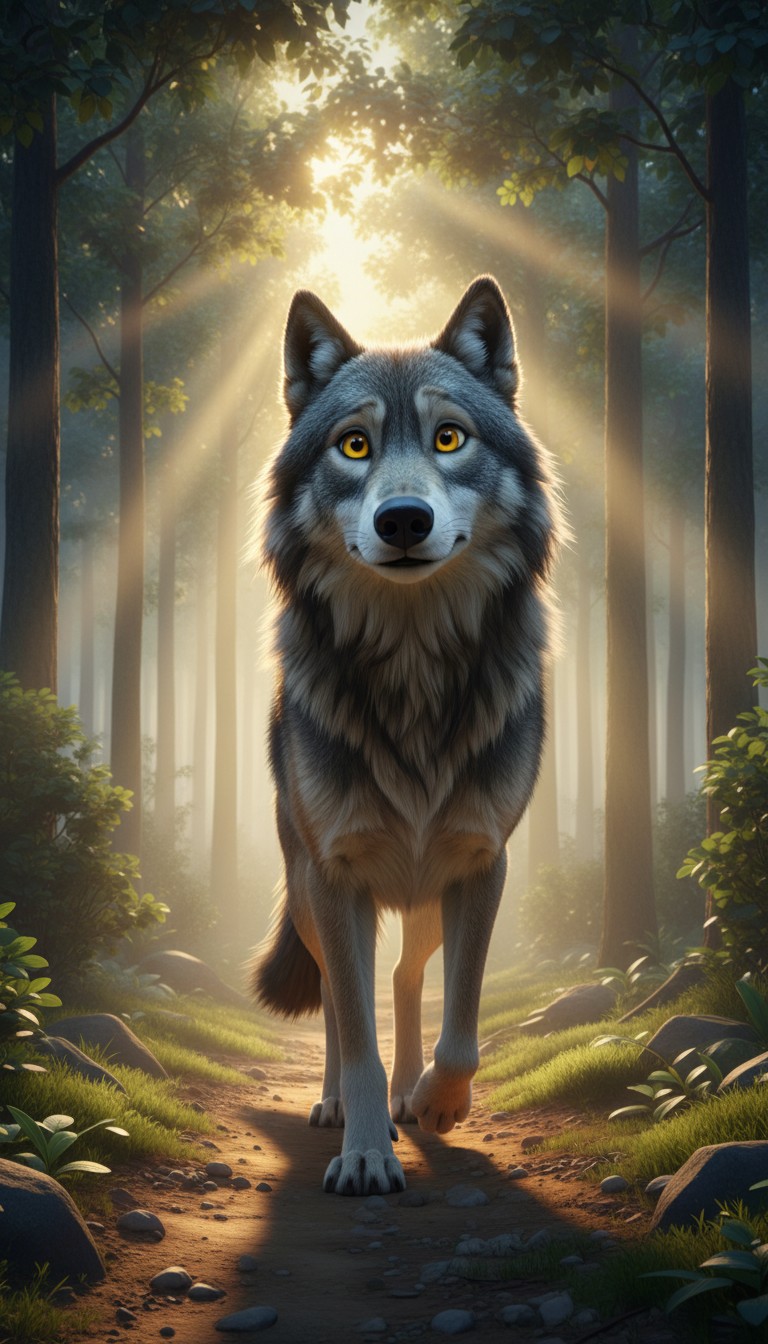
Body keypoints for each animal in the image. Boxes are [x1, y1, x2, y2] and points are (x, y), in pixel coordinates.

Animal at [251, 275, 561, 1196]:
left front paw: (435, 1103)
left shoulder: (480, 863)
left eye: (448, 438)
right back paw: (334, 1107)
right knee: (335, 996)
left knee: (404, 974)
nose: (402, 521)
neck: (415, 673)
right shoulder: (336, 876)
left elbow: (462, 1026)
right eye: (353, 446)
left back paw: (410, 1094)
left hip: (424, 901)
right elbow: (354, 1034)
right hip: (308, 889)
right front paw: (363, 1152)